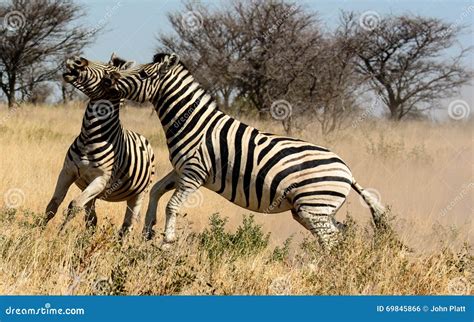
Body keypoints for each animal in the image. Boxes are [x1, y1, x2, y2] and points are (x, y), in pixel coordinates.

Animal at [43, 54, 156, 238]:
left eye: (107, 78)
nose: (77, 60)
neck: (89, 136)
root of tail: (143, 138)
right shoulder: (67, 171)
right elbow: (53, 204)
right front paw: (37, 230)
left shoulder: (101, 179)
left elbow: (74, 205)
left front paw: (59, 234)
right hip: (91, 190)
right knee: (91, 220)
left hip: (138, 195)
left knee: (127, 225)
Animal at [65, 52, 386, 249]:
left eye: (143, 74)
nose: (110, 81)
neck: (192, 122)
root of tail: (347, 171)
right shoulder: (182, 170)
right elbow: (156, 191)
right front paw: (148, 230)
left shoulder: (194, 174)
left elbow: (173, 205)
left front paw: (166, 241)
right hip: (313, 210)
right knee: (339, 236)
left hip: (313, 207)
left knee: (331, 240)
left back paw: (318, 271)